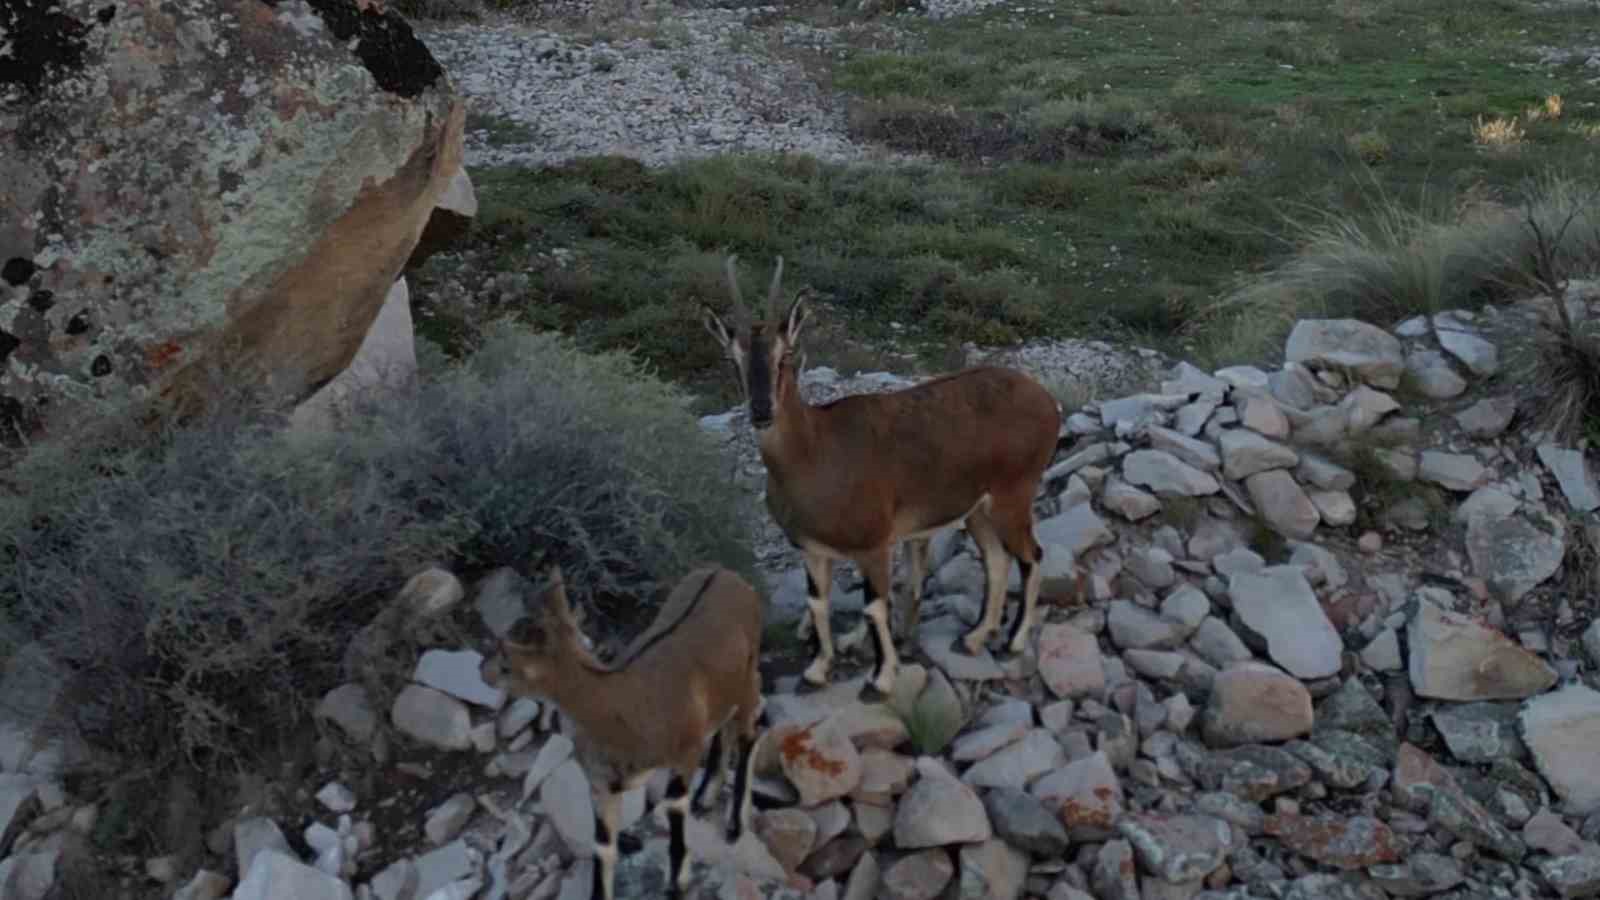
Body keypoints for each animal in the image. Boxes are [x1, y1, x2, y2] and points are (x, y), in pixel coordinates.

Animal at [476, 563, 764, 890]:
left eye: (507, 665)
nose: (481, 670)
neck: (620, 711)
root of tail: (726, 573)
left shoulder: (684, 756)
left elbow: (675, 820)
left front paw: (678, 882)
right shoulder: (602, 786)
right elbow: (603, 849)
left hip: (748, 675)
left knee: (749, 734)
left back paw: (734, 826)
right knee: (723, 726)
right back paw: (705, 796)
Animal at [704, 254, 1062, 701]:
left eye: (784, 355)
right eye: (732, 359)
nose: (761, 411)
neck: (815, 453)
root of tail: (1046, 401)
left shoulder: (873, 544)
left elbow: (875, 607)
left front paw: (881, 679)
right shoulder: (811, 550)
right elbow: (817, 601)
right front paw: (816, 672)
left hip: (1013, 495)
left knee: (1031, 555)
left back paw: (1013, 641)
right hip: (977, 510)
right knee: (997, 560)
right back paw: (974, 638)